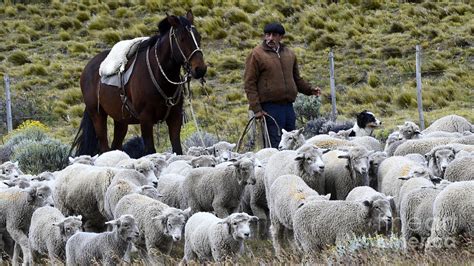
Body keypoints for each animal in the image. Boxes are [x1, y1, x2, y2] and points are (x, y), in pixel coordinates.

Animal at [70, 10, 206, 156]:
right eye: (182, 38)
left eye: (198, 37)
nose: (200, 69)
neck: (159, 75)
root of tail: (87, 69)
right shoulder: (145, 119)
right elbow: (150, 150)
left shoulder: (175, 118)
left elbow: (177, 149)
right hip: (98, 115)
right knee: (105, 147)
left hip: (121, 121)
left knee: (116, 146)